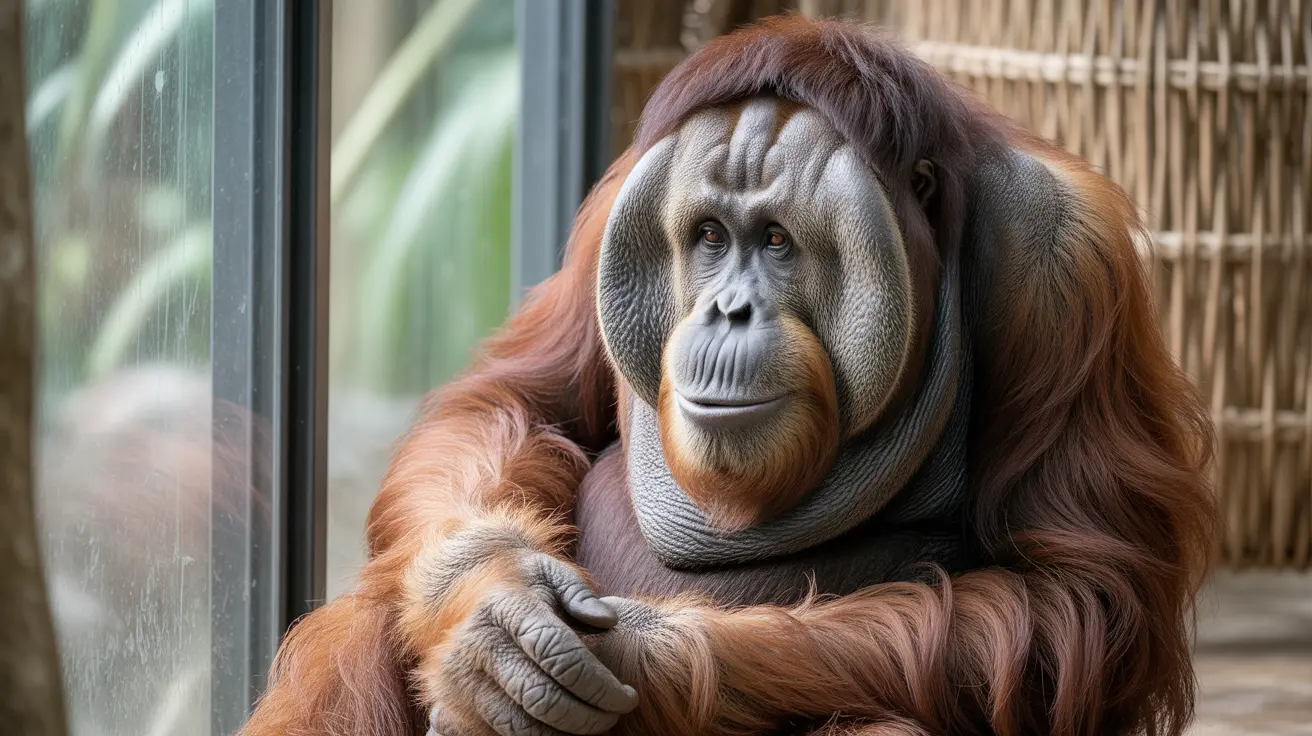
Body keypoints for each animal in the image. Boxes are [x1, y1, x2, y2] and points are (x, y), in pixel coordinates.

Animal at [242, 15, 1217, 736]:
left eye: (777, 241)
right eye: (710, 236)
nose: (725, 310)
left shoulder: (1062, 258)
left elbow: (1072, 600)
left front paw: (640, 654)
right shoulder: (617, 201)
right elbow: (517, 400)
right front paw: (491, 606)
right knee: (360, 627)